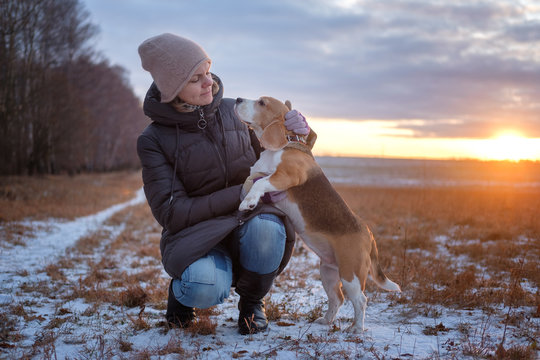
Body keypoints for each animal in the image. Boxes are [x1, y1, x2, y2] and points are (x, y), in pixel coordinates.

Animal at [236, 96, 400, 332]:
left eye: (262, 103)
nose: (237, 99)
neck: (286, 143)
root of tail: (368, 233)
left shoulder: (286, 176)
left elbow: (261, 183)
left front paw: (248, 202)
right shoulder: (258, 172)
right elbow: (251, 180)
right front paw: (246, 197)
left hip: (350, 273)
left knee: (360, 300)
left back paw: (356, 329)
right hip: (328, 272)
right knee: (337, 298)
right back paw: (326, 320)